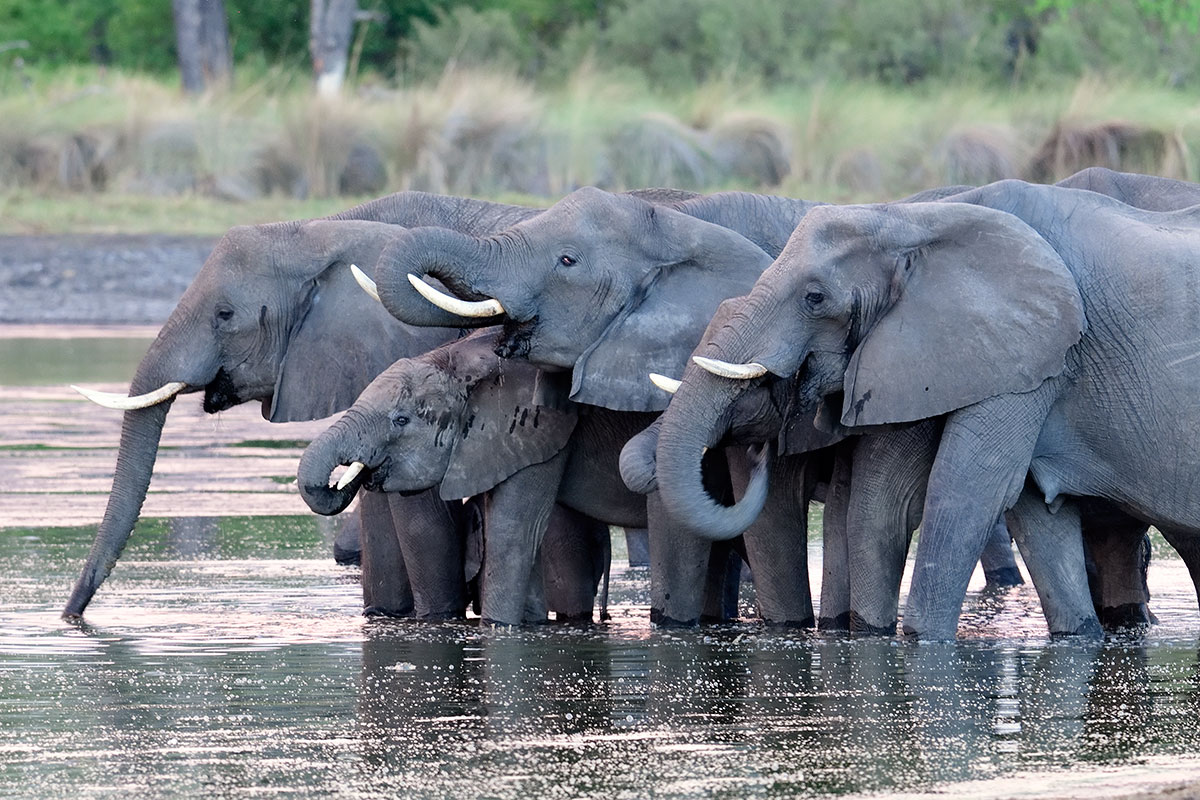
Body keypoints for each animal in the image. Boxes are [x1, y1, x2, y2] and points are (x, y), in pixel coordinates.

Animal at [296, 328, 687, 625]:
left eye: (401, 420)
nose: (345, 477)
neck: (458, 357)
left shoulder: (537, 429)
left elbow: (513, 531)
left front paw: (499, 626)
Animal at [656, 177, 1200, 639]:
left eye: (815, 297)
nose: (759, 453)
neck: (913, 219)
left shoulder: (1032, 355)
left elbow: (964, 495)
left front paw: (920, 643)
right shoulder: (946, 358)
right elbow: (1016, 513)